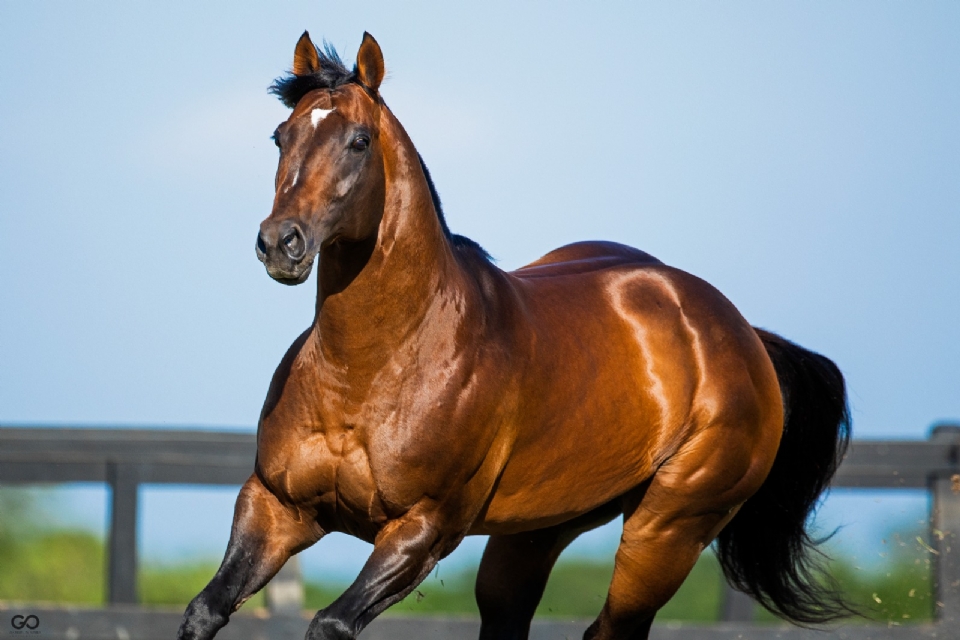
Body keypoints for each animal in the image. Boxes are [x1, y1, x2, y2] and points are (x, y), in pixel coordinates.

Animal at [176, 31, 852, 640]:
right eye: (280, 136)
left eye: (359, 141)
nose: (280, 243)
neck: (371, 368)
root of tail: (740, 335)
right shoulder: (276, 506)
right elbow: (205, 609)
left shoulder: (422, 531)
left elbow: (330, 624)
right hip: (535, 532)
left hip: (668, 530)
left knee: (614, 628)